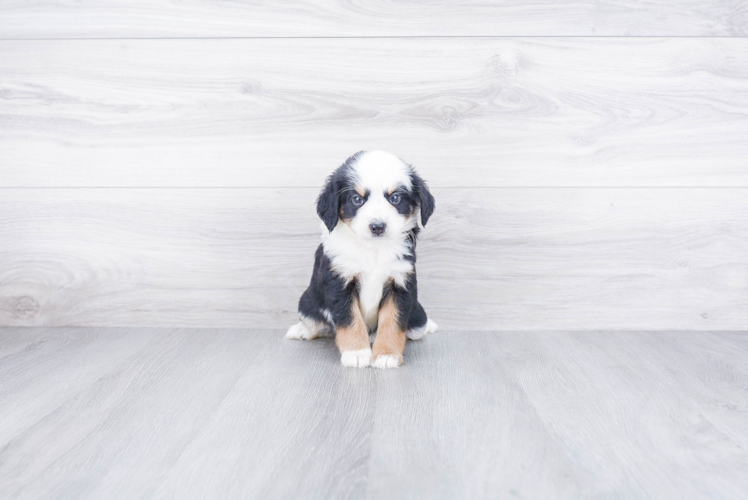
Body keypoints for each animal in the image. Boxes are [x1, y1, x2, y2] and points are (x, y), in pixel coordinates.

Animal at [286, 150, 438, 370]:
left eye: (395, 198)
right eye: (357, 199)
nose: (377, 227)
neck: (372, 249)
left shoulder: (400, 283)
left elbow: (393, 322)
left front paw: (386, 355)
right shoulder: (339, 282)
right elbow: (350, 320)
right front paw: (356, 353)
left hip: (417, 315)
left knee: (417, 329)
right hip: (307, 302)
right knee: (316, 324)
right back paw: (300, 331)